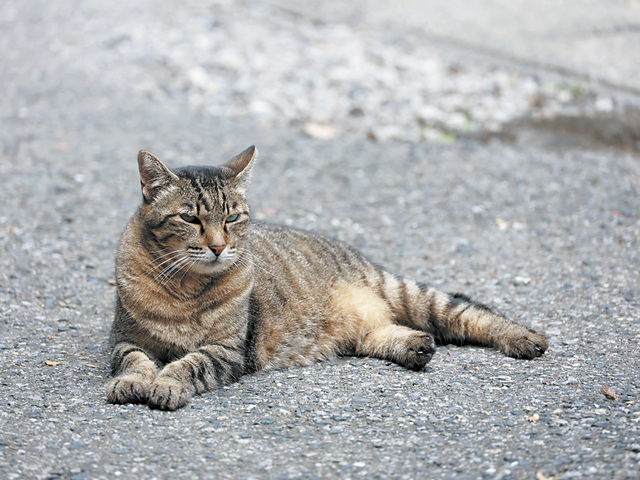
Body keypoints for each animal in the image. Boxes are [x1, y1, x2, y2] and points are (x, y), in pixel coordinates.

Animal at [107, 144, 548, 410]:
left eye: (232, 218)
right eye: (190, 219)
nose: (218, 246)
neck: (185, 288)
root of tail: (358, 258)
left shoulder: (227, 349)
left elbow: (189, 364)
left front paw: (166, 384)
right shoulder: (124, 338)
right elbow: (134, 361)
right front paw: (131, 382)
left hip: (414, 295)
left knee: (469, 314)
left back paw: (525, 338)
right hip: (361, 328)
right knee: (382, 333)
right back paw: (415, 346)